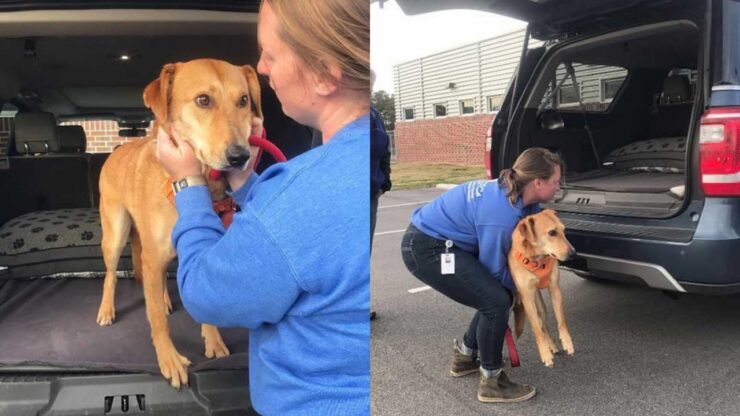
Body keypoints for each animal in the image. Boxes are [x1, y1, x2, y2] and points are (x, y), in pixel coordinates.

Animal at [95, 59, 264, 390]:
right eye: (203, 100)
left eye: (243, 101)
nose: (240, 157)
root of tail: (117, 150)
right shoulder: (152, 256)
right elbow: (158, 323)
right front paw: (169, 360)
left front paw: (213, 340)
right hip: (116, 232)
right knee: (110, 275)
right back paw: (107, 309)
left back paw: (161, 298)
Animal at [508, 210, 580, 366]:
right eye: (552, 232)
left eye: (564, 231)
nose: (573, 253)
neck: (538, 258)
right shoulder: (527, 298)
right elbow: (536, 329)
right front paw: (544, 353)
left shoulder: (555, 288)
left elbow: (561, 320)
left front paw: (567, 342)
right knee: (540, 324)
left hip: (541, 306)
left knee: (544, 324)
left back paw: (552, 345)